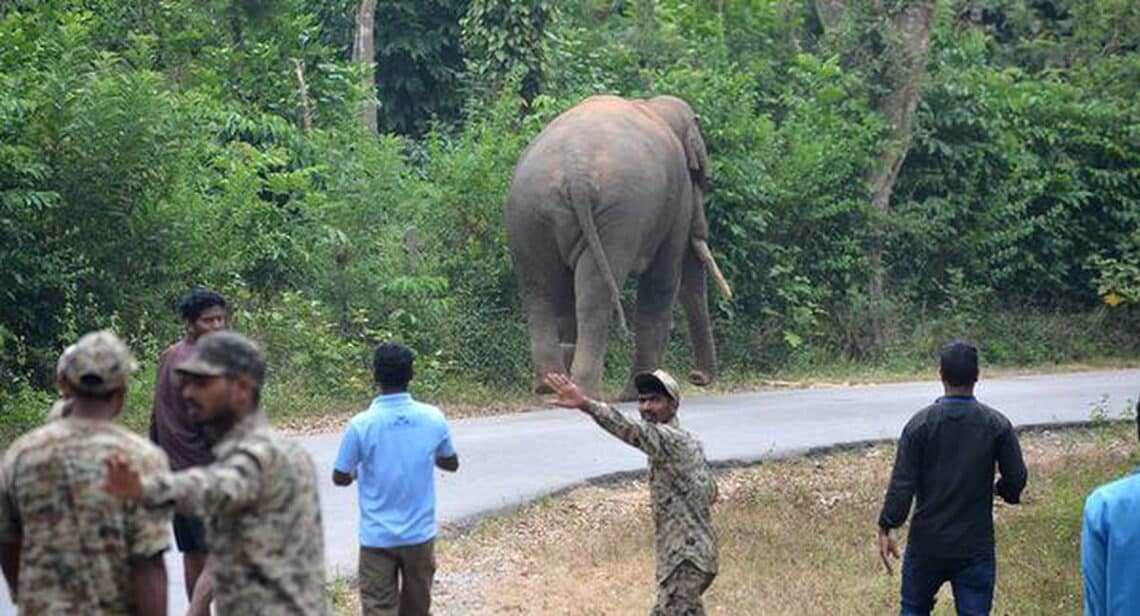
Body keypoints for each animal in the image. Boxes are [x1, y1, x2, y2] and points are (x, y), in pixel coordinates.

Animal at [505, 94, 732, 400]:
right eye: (701, 178)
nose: (696, 377)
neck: (653, 105)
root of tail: (575, 169)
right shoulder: (679, 200)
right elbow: (662, 283)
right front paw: (636, 393)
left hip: (529, 212)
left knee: (539, 290)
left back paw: (549, 385)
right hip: (618, 215)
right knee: (595, 294)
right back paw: (586, 390)